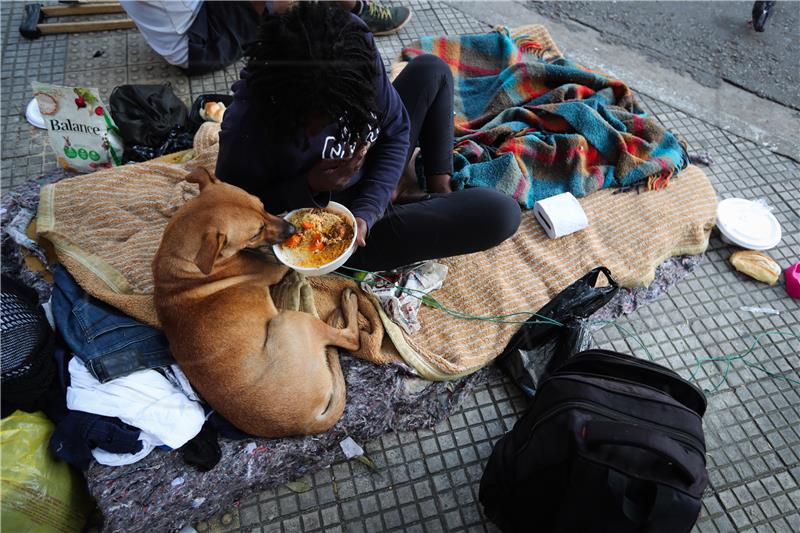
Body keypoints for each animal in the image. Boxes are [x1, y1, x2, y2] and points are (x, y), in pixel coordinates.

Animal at [153, 169, 360, 436]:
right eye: (256, 232)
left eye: (262, 205)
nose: (292, 229)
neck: (180, 263)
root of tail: (306, 422)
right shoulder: (274, 268)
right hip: (289, 322)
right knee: (349, 338)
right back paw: (341, 301)